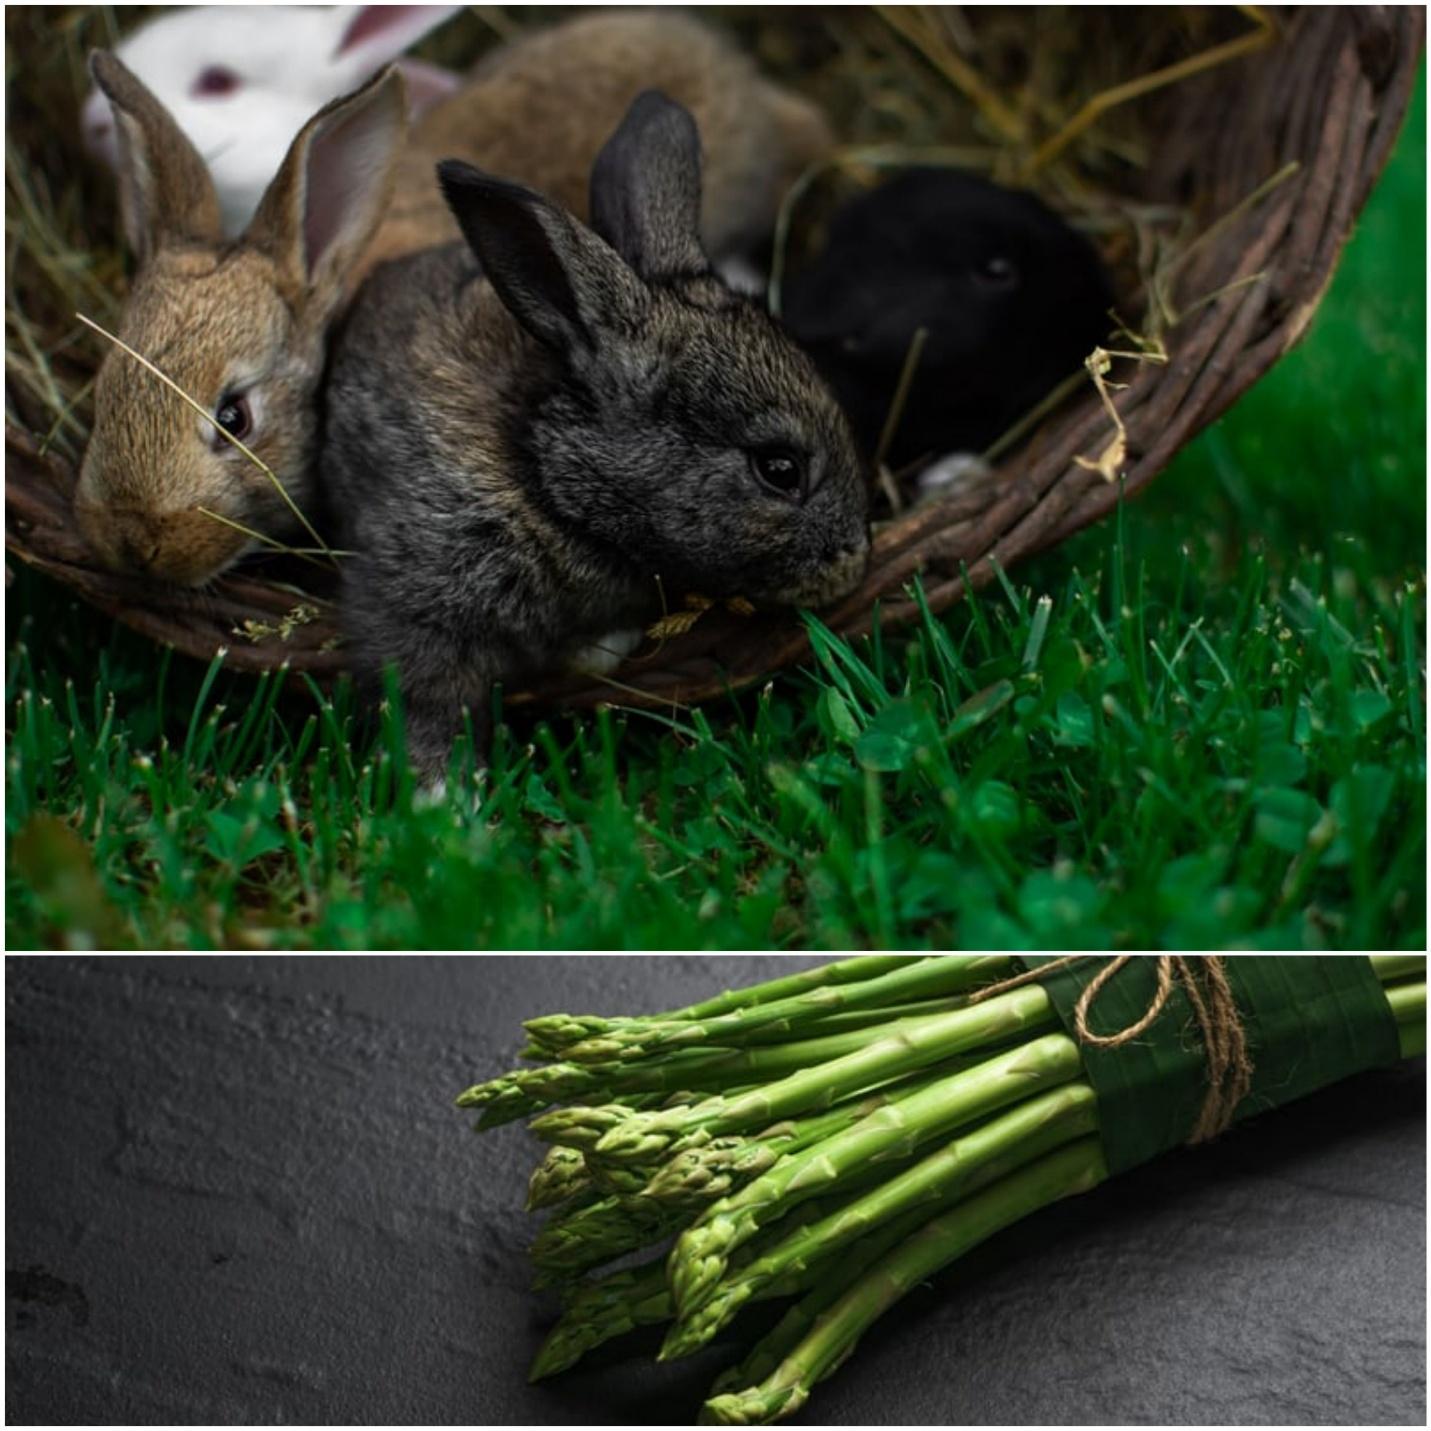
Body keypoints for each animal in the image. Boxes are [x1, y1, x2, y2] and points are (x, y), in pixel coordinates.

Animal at [320, 91, 870, 780]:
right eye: (779, 469)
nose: (854, 559)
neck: (550, 481)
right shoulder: (413, 598)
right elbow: (423, 698)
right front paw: (442, 793)